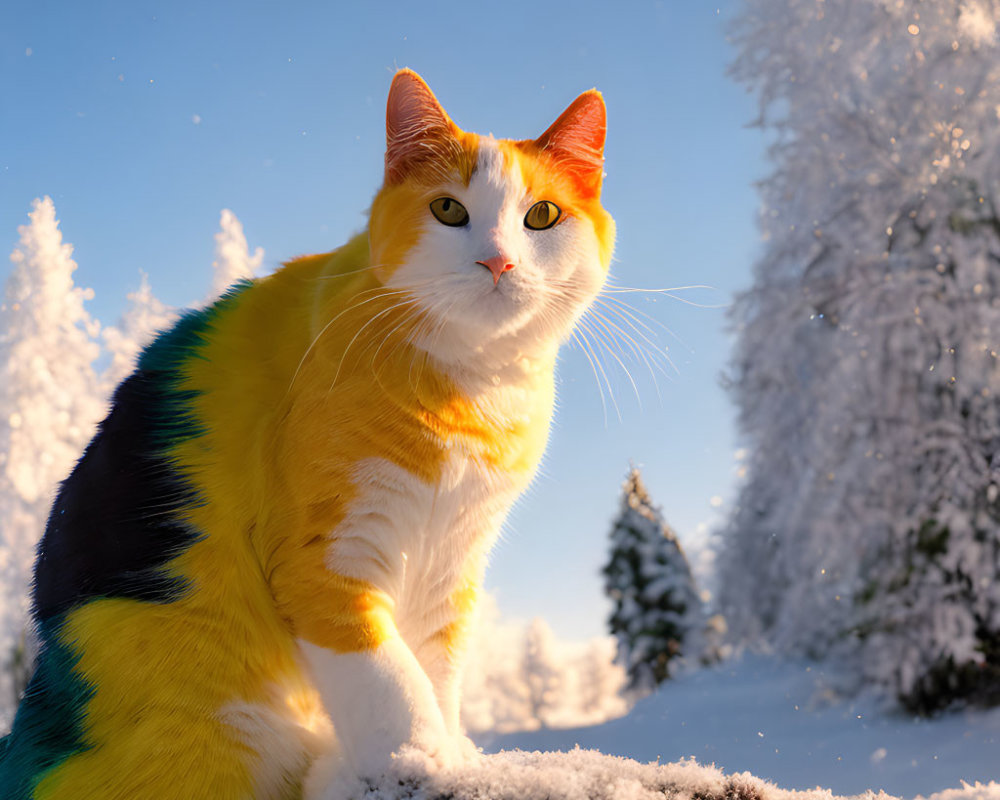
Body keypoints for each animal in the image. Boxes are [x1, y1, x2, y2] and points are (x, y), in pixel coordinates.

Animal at [0, 70, 612, 800]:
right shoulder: (327, 558)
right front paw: (417, 759)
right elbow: (389, 679)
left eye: (541, 217)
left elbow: (435, 670)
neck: (474, 388)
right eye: (448, 210)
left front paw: (449, 753)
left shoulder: (450, 562)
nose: (498, 262)